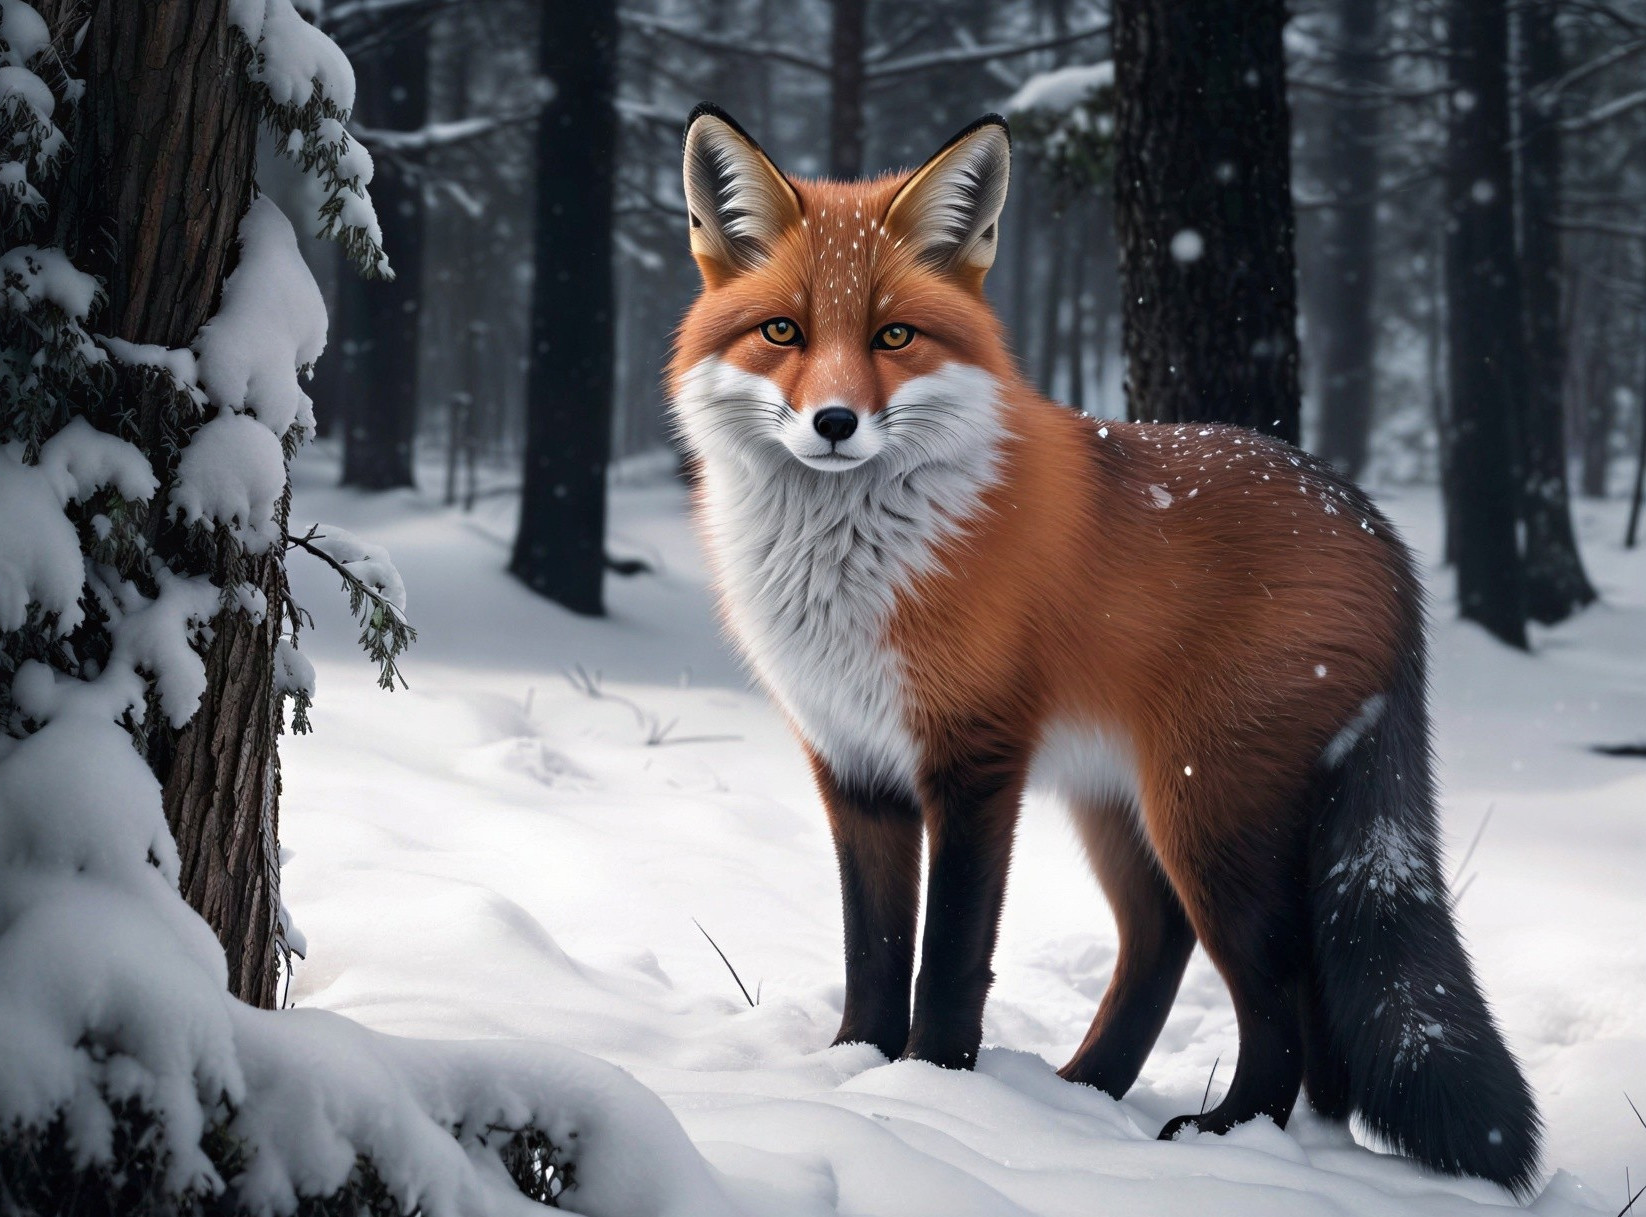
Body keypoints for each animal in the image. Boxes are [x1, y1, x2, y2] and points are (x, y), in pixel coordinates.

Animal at [667, 104, 1541, 1196]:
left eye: (892, 334)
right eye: (782, 330)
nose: (833, 422)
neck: (853, 572)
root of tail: (1375, 524)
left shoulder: (975, 757)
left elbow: (946, 958)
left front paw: (929, 1093)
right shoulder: (852, 763)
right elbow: (872, 952)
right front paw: (851, 1074)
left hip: (1204, 809)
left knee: (1281, 984)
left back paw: (1228, 1129)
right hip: (1118, 804)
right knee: (1163, 939)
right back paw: (1086, 1092)